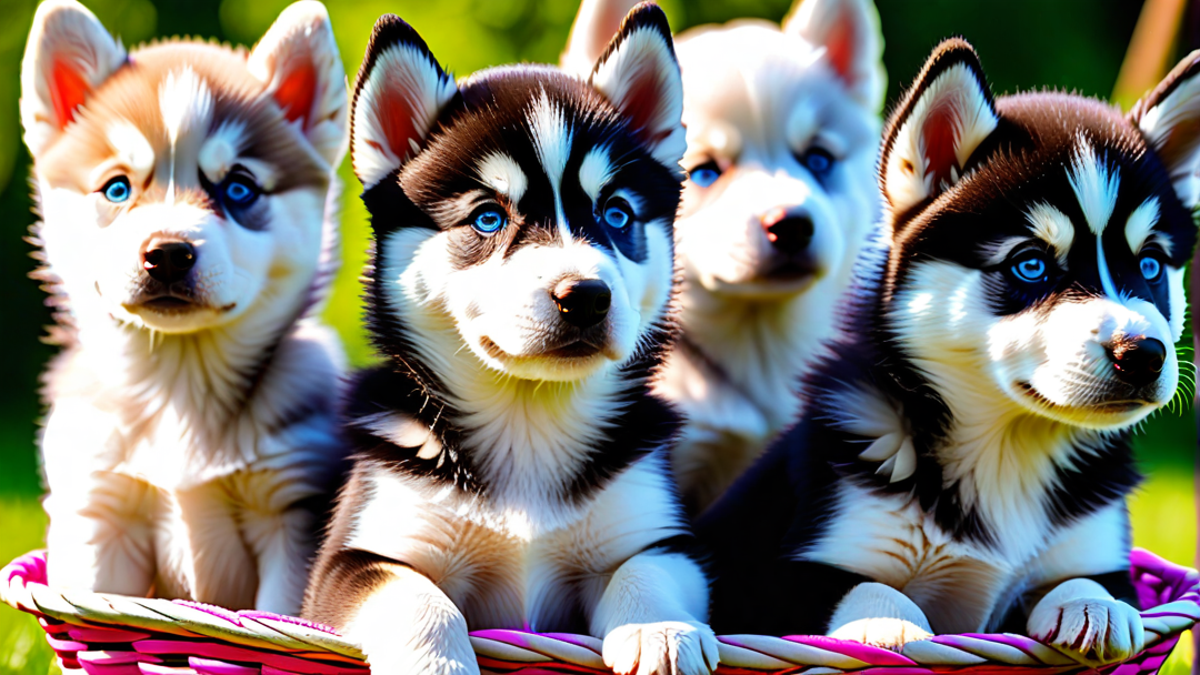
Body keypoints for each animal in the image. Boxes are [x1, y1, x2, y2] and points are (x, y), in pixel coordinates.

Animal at [21, 0, 350, 614]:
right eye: (117, 188)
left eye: (239, 189)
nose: (169, 254)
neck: (181, 388)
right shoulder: (100, 515)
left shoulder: (289, 516)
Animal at [304, 5, 715, 672]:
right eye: (488, 217)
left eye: (617, 215)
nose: (586, 295)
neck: (528, 418)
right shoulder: (357, 556)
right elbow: (415, 597)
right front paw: (438, 663)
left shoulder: (657, 532)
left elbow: (650, 571)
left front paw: (660, 630)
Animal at [700, 39, 1200, 662]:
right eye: (1030, 265)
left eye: (1151, 265)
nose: (1144, 353)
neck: (1009, 451)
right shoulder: (785, 571)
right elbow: (867, 588)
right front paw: (889, 626)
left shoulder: (1098, 547)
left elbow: (1092, 581)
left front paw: (1094, 606)